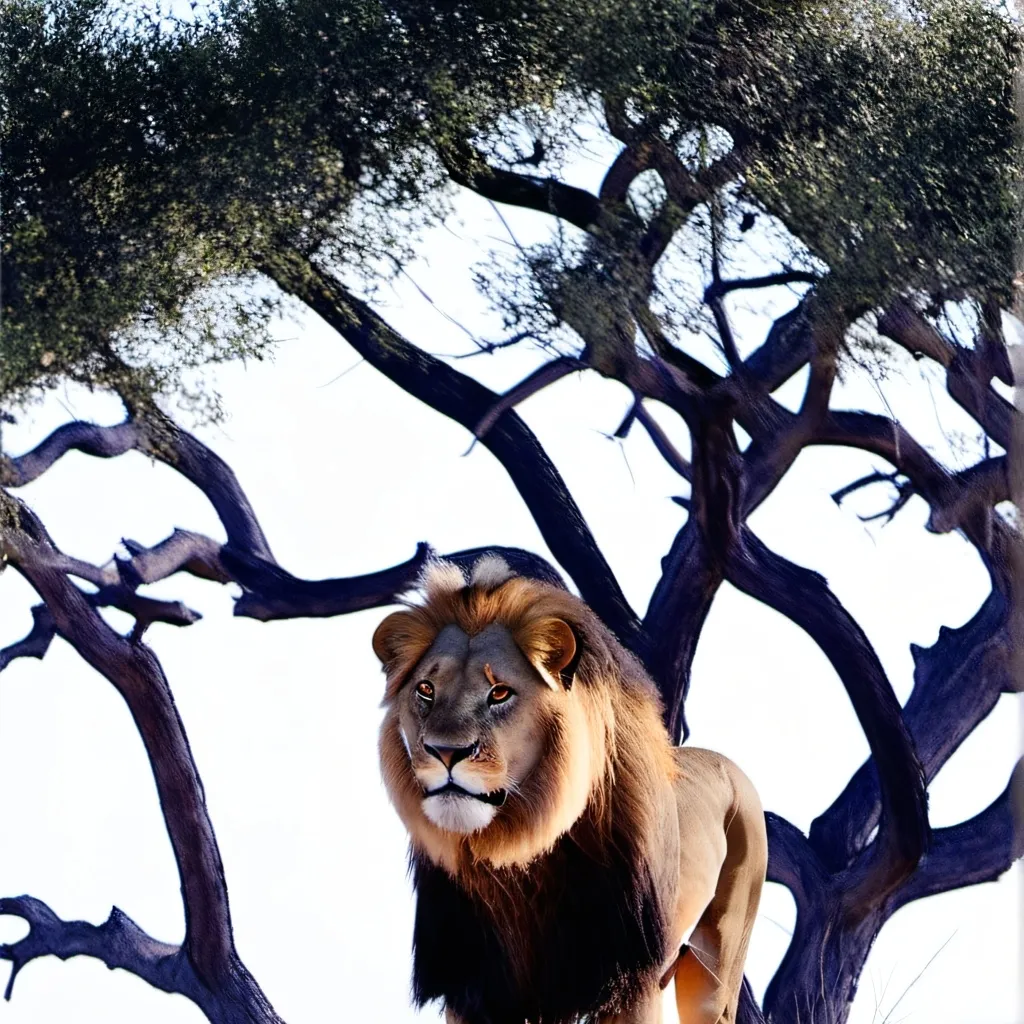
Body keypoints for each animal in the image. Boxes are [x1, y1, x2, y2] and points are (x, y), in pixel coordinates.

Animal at [372, 555, 767, 1024]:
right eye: (426, 690)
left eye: (499, 692)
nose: (445, 751)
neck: (517, 856)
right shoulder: (475, 989)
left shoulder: (630, 981)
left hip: (717, 964)